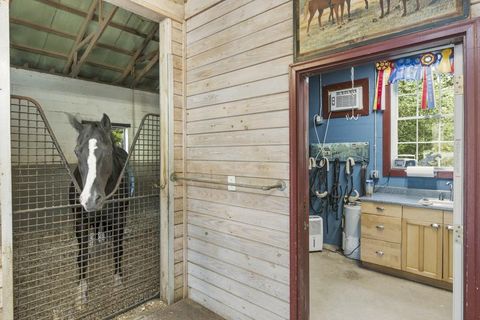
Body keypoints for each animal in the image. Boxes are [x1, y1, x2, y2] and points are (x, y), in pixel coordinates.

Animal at [68, 114, 129, 306]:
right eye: (76, 151)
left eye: (108, 151)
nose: (91, 198)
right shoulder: (80, 222)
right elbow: (82, 256)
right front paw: (81, 292)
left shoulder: (118, 220)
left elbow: (118, 249)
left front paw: (118, 282)